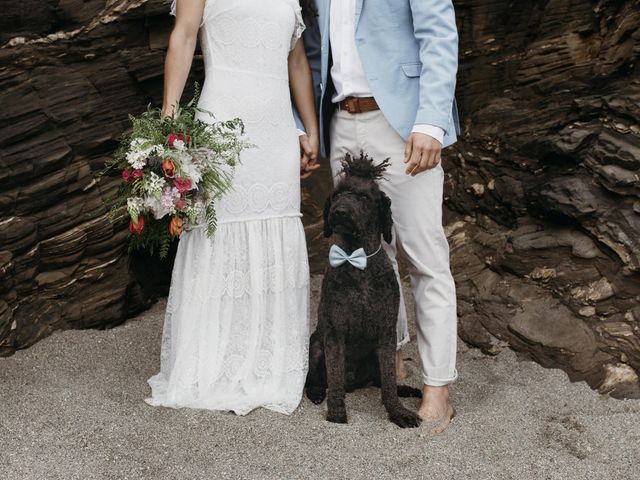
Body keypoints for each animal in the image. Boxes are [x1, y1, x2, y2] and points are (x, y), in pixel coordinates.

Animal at [306, 153, 422, 428]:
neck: (356, 261)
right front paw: (336, 411)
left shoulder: (386, 333)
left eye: (364, 197)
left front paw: (398, 412)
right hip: (315, 345)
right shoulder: (334, 333)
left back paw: (406, 390)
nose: (339, 212)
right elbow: (335, 376)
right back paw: (316, 391)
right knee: (314, 378)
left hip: (373, 355)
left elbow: (388, 381)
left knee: (381, 381)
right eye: (337, 194)